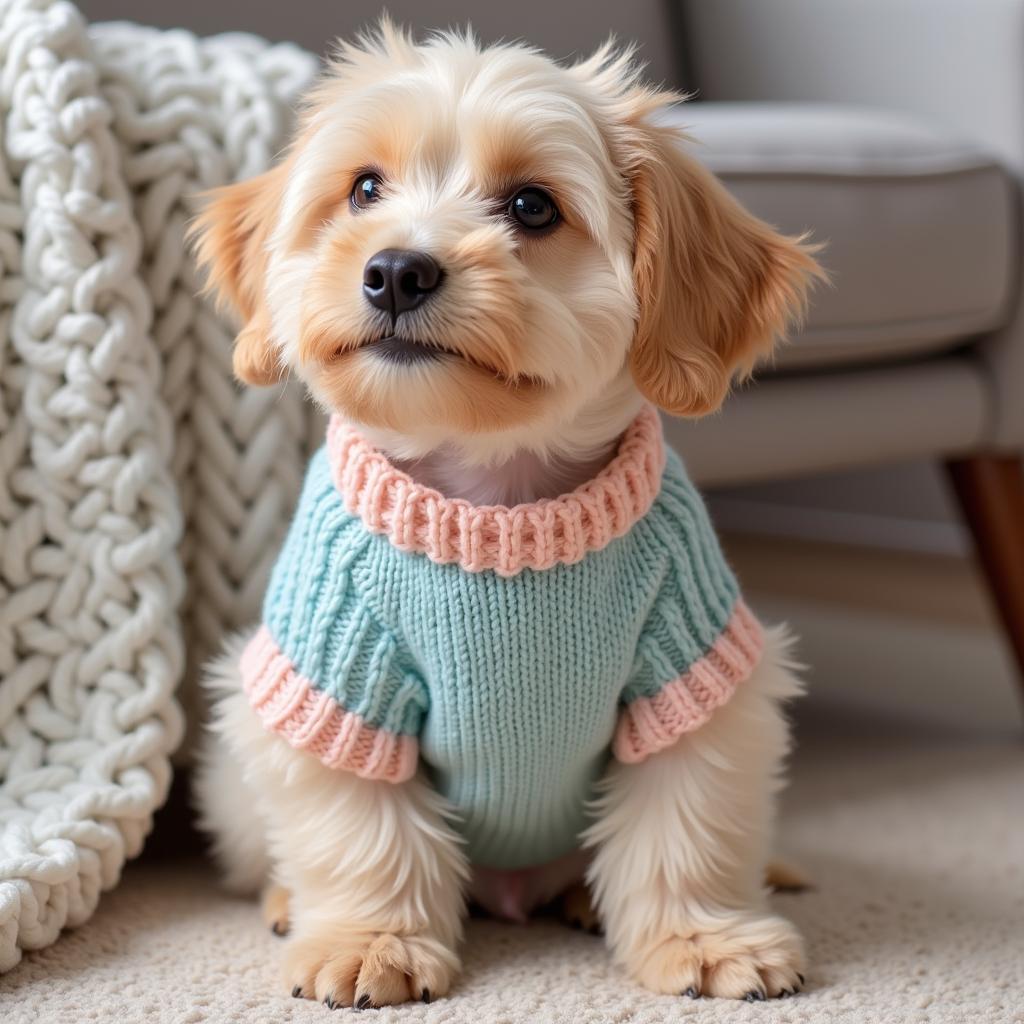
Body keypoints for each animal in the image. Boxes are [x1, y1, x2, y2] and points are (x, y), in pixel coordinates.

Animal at [190, 22, 823, 1007]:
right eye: (364, 188)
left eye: (531, 206)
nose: (396, 270)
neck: (496, 506)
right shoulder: (336, 682)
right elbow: (363, 831)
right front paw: (372, 940)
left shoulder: (695, 673)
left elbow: (686, 827)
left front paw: (705, 936)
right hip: (236, 763)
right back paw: (290, 902)